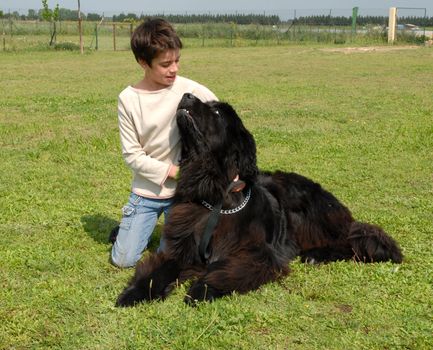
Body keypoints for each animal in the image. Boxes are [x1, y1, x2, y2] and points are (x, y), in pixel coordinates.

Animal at [115, 92, 402, 306]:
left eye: (216, 113)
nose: (186, 94)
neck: (215, 195)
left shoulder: (259, 254)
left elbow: (223, 271)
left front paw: (200, 290)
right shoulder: (182, 247)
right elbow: (158, 270)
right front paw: (134, 293)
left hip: (307, 214)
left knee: (349, 241)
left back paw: (317, 254)